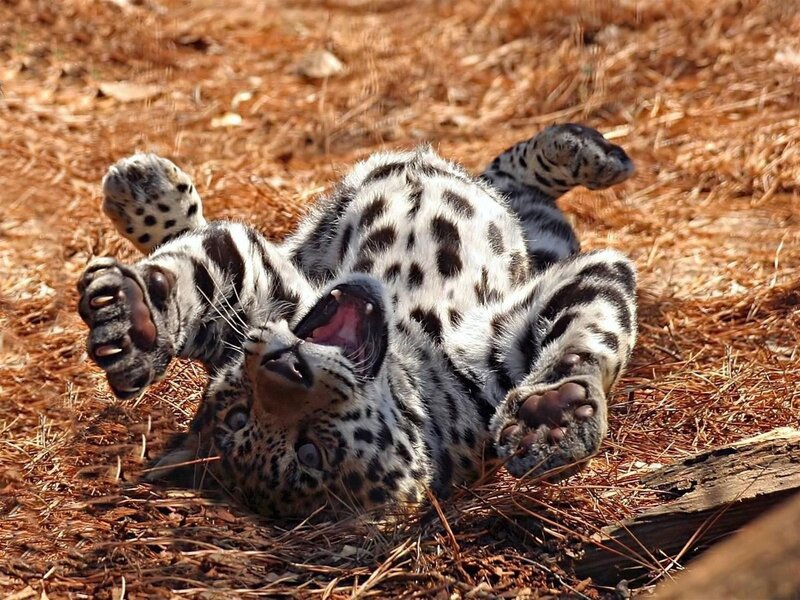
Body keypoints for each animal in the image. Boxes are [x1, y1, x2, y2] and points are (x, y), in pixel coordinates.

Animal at [77, 124, 637, 517]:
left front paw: (555, 415)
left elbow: (595, 335)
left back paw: (591, 152)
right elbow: (203, 262)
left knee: (507, 181)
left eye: (311, 451)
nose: (286, 367)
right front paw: (137, 316)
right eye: (241, 414)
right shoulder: (259, 294)